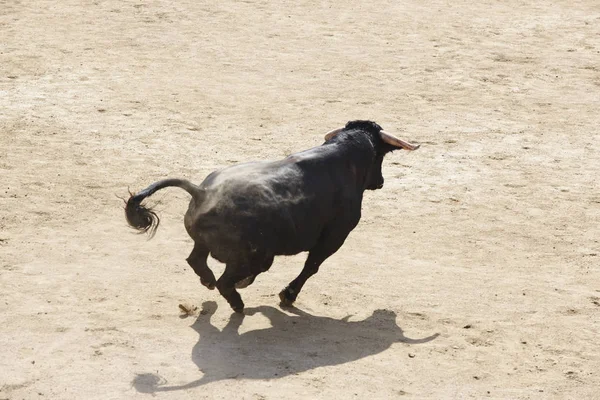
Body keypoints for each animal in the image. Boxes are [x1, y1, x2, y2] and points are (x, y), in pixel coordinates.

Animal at [125, 119, 420, 312]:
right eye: (380, 157)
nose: (380, 182)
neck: (345, 157)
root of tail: (202, 191)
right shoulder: (335, 236)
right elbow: (312, 265)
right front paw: (287, 295)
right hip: (250, 256)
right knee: (227, 280)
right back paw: (238, 303)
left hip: (218, 247)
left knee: (197, 261)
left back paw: (211, 284)